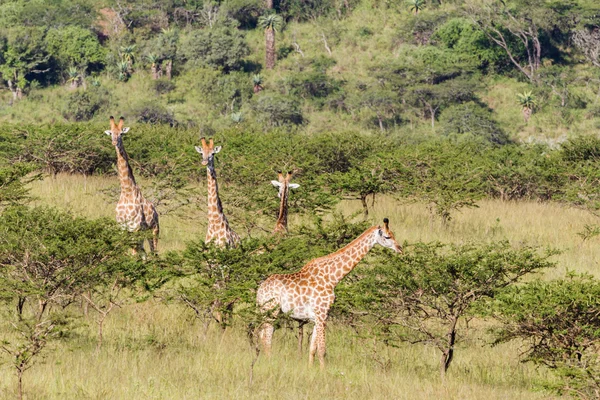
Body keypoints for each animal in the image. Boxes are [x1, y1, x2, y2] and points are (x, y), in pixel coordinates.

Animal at [103, 115, 158, 253]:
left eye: (121, 133)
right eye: (111, 133)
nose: (114, 142)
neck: (127, 191)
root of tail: (156, 211)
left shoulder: (135, 227)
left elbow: (132, 254)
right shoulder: (123, 228)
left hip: (154, 230)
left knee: (154, 253)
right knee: (143, 253)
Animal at [258, 217, 404, 368]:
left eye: (393, 234)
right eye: (387, 236)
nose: (400, 248)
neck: (332, 278)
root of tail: (260, 290)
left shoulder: (317, 317)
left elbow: (312, 349)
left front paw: (310, 369)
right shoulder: (322, 315)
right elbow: (322, 350)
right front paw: (323, 372)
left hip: (267, 311)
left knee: (262, 335)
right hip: (271, 310)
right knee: (267, 339)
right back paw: (268, 363)